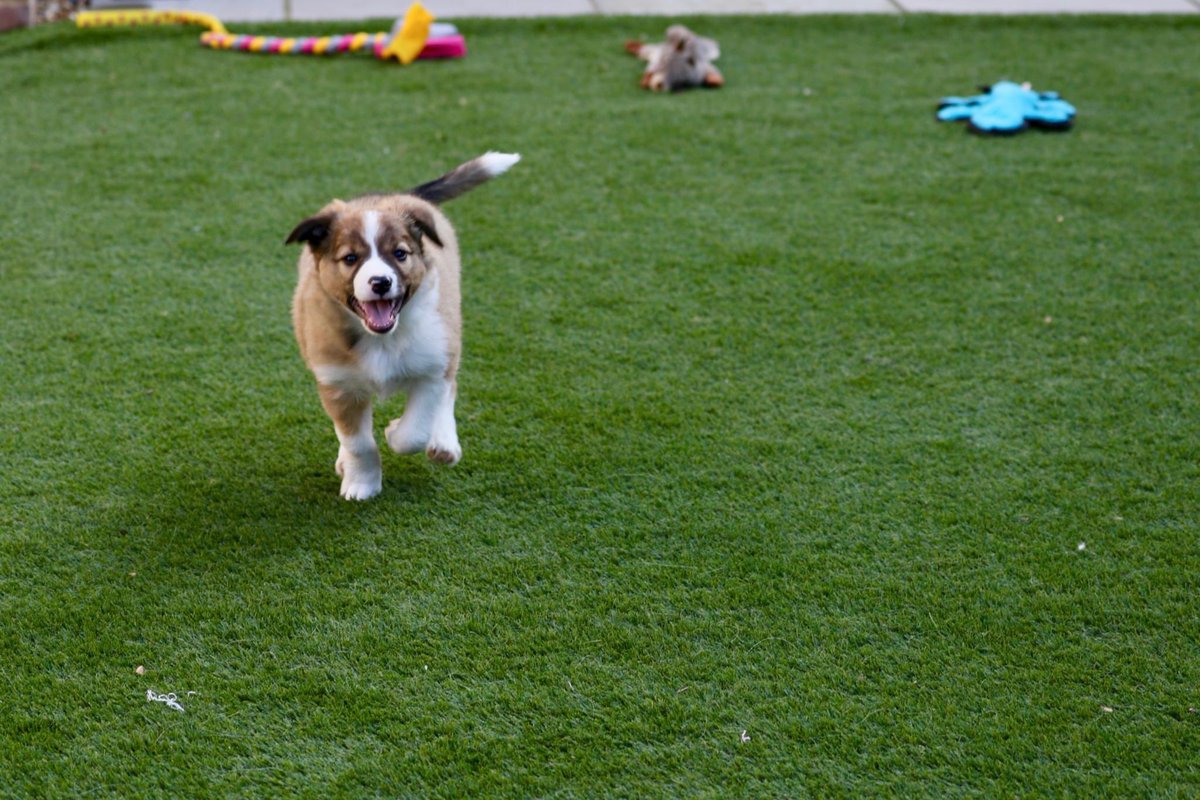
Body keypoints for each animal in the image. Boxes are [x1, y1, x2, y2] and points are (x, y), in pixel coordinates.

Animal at [289, 151, 520, 501]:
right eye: (350, 258)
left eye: (400, 253)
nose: (381, 282)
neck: (382, 339)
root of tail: (399, 196)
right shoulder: (337, 383)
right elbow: (357, 442)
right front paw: (361, 484)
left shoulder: (431, 367)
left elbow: (415, 430)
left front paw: (394, 431)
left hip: (448, 331)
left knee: (450, 386)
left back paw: (444, 444)